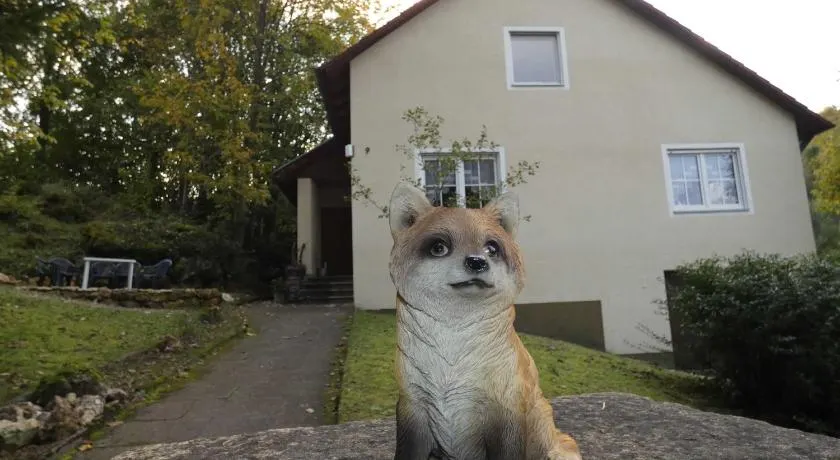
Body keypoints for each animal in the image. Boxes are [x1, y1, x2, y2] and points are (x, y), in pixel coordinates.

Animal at [387, 182, 582, 460]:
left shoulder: (506, 412)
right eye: (439, 247)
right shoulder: (412, 404)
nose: (477, 261)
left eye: (491, 248)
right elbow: (407, 451)